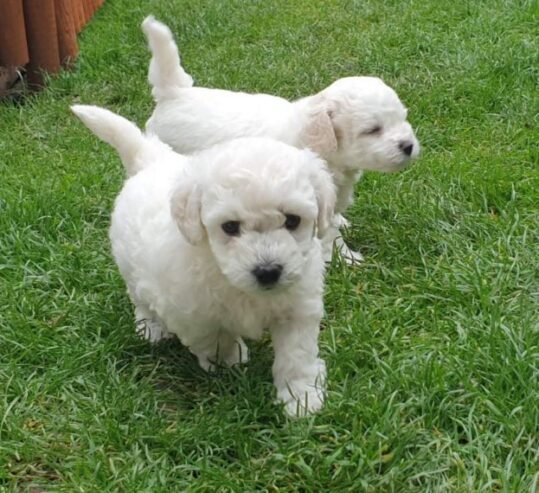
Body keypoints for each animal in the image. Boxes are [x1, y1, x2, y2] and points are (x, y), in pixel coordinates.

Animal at [70, 104, 336, 416]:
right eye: (230, 227)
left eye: (293, 220)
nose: (268, 271)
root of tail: (150, 159)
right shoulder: (193, 314)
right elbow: (216, 339)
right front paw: (229, 361)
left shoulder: (298, 308)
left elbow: (297, 354)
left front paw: (301, 397)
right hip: (131, 268)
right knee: (140, 299)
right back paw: (152, 328)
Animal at [141, 15, 420, 262]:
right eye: (372, 130)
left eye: (403, 118)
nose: (408, 146)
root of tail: (174, 92)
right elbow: (328, 236)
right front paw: (347, 259)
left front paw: (342, 223)